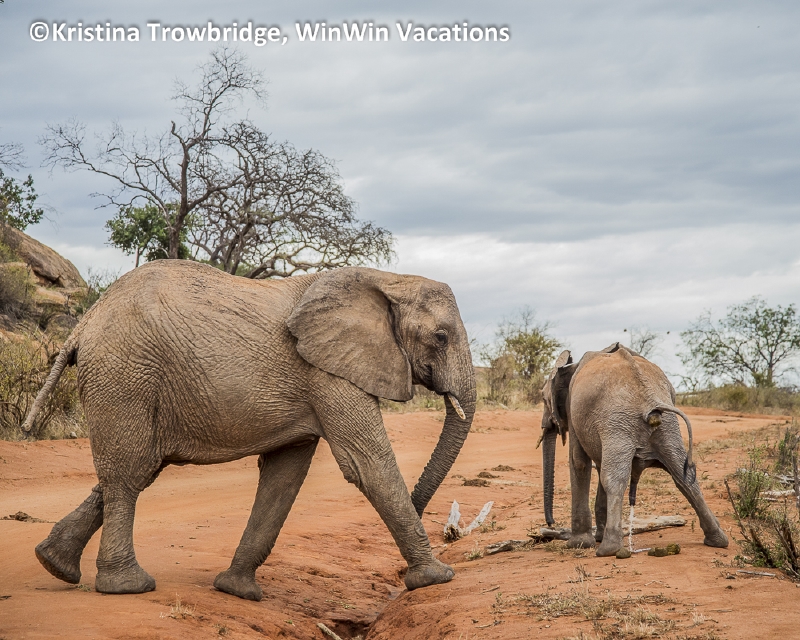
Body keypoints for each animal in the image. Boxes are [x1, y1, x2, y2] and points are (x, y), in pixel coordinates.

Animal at [23, 261, 476, 600]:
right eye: (440, 337)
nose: (421, 507)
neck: (387, 279)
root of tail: (85, 322)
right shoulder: (327, 372)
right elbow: (366, 464)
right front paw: (436, 577)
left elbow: (284, 477)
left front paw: (236, 591)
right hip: (125, 374)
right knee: (127, 474)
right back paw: (126, 587)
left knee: (138, 468)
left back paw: (53, 563)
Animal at [538, 343, 728, 556]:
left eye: (543, 399)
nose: (551, 524)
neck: (571, 366)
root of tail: (650, 399)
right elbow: (598, 464)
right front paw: (594, 538)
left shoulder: (574, 411)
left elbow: (579, 462)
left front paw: (578, 544)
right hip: (663, 425)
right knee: (684, 476)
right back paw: (717, 540)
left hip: (618, 420)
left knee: (613, 479)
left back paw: (608, 549)